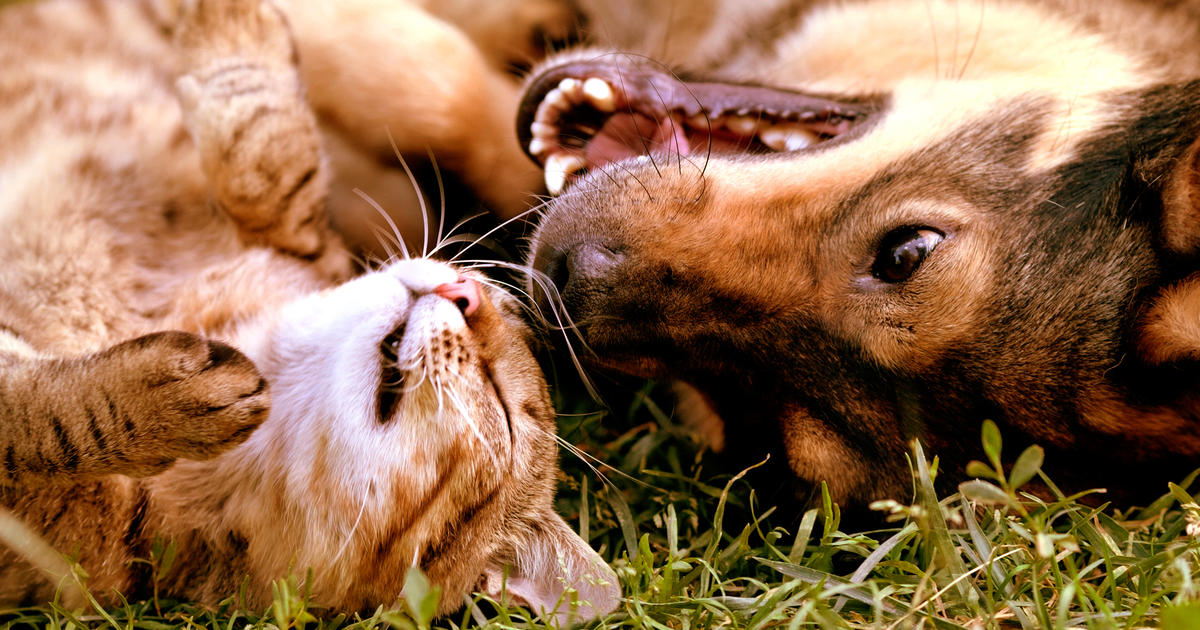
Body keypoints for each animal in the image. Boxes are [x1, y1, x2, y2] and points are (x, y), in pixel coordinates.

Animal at [0, 0, 619, 619]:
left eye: (503, 405)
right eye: (500, 298)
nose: (463, 290)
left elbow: (36, 426)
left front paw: (157, 404)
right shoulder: (298, 236)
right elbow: (270, 158)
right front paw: (228, 23)